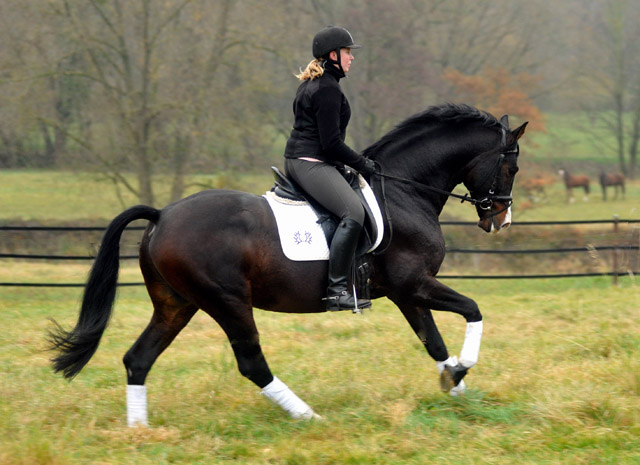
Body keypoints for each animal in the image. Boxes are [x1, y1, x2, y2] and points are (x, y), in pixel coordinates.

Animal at [50, 103, 528, 426]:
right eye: (512, 167)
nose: (500, 220)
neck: (403, 191)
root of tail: (162, 215)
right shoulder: (414, 283)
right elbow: (472, 311)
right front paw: (462, 371)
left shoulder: (406, 292)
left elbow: (434, 343)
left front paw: (458, 390)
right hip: (226, 302)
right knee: (251, 363)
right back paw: (307, 416)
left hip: (176, 304)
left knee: (138, 359)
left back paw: (140, 431)